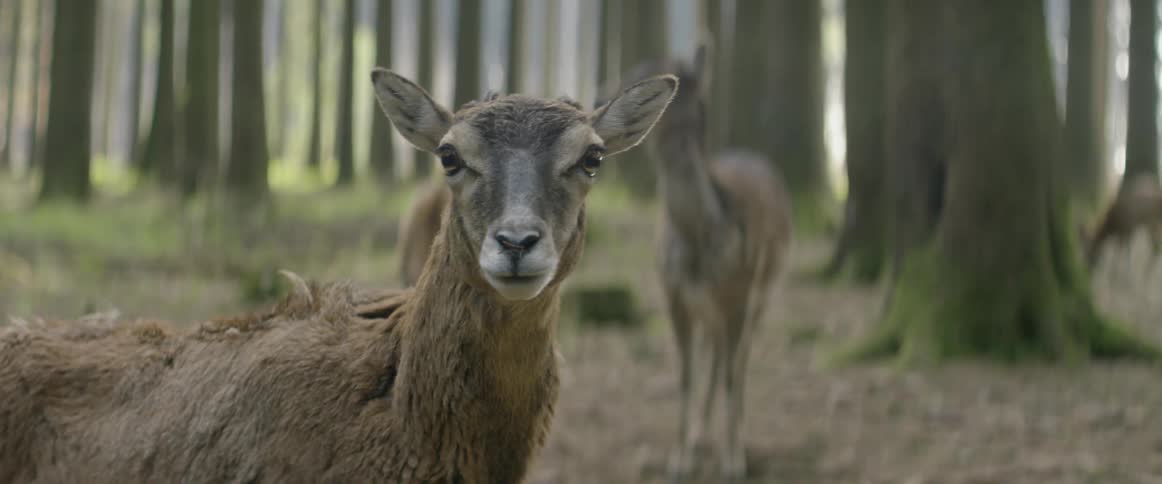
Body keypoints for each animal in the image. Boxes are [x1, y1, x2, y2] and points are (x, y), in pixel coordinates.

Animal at [601, 45, 793, 481]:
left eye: (645, 76)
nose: (600, 92)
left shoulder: (741, 292)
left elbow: (731, 374)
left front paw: (734, 461)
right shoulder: (673, 294)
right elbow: (686, 375)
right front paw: (680, 458)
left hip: (764, 291)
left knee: (738, 359)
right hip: (708, 306)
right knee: (716, 349)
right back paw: (701, 434)